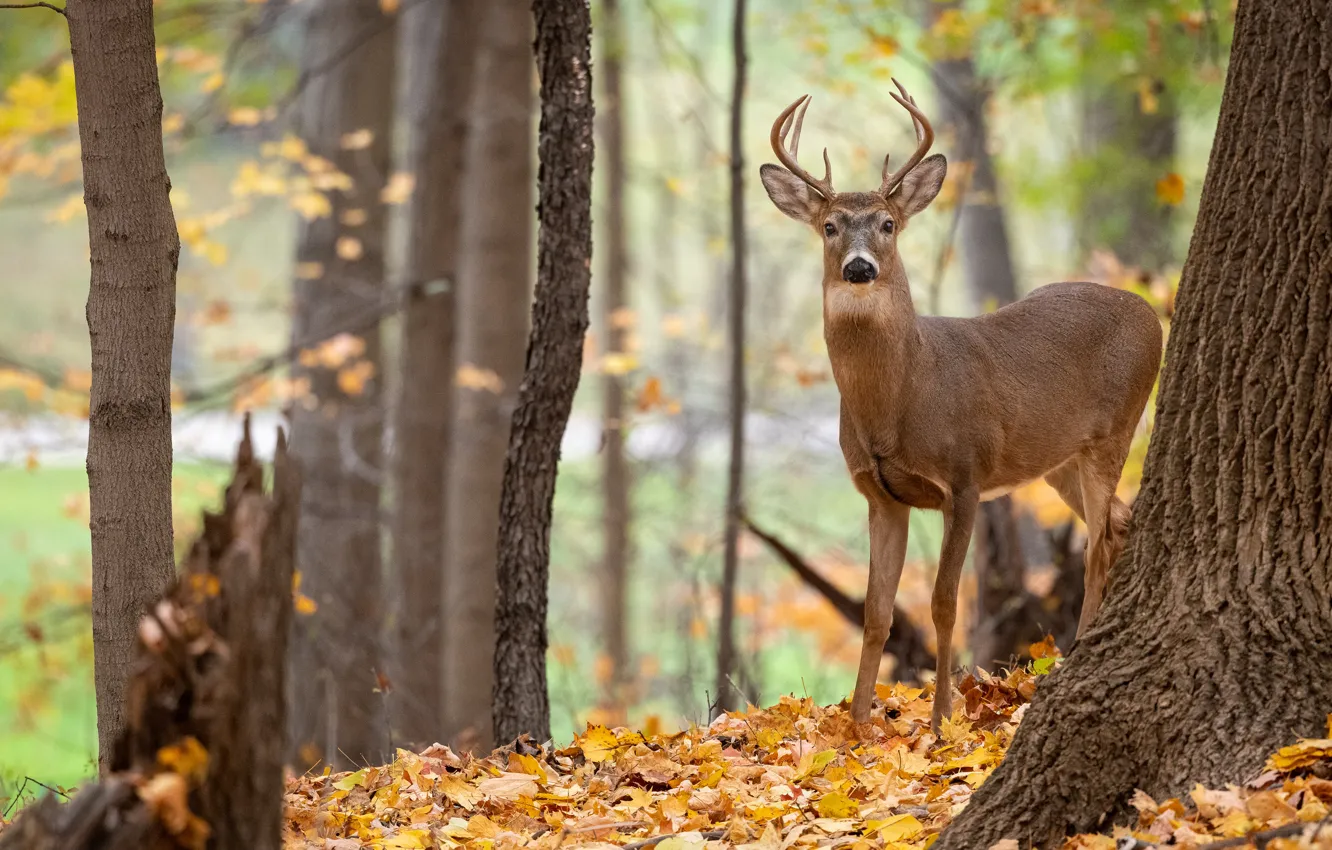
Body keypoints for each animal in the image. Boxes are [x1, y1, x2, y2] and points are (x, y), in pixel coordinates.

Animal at [759, 81, 1163, 733]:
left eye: (889, 223)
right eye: (829, 226)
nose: (859, 268)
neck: (901, 396)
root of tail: (1149, 312)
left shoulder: (965, 476)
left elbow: (945, 602)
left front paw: (942, 717)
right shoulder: (880, 495)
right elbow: (877, 611)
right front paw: (859, 725)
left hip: (1116, 427)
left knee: (1099, 542)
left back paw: (1077, 653)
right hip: (1058, 463)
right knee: (1119, 525)